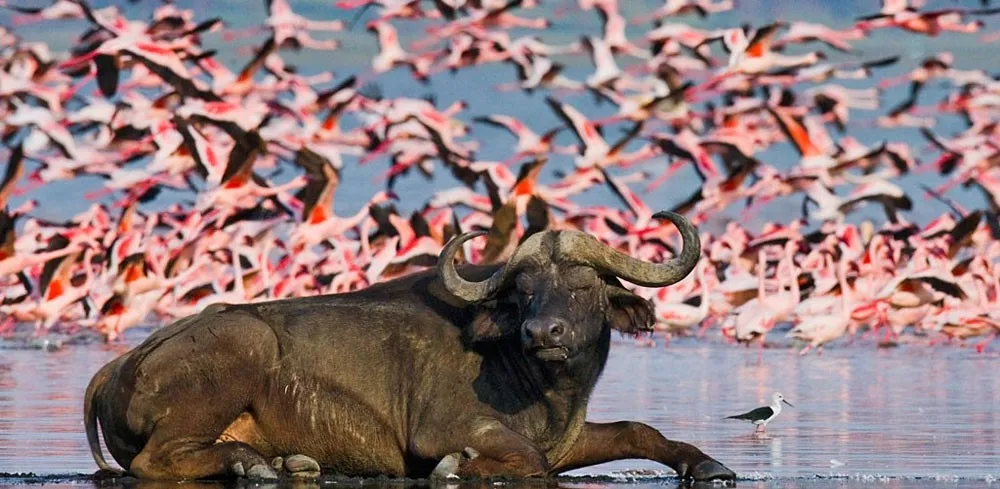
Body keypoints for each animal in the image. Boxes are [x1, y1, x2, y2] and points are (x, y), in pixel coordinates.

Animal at [86, 210, 740, 480]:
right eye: (525, 291)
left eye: (584, 286)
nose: (542, 334)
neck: (545, 387)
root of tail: (117, 366)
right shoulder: (445, 430)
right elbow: (521, 459)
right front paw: (459, 468)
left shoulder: (568, 440)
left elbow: (639, 430)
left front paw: (708, 464)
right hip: (239, 349)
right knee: (154, 461)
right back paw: (252, 466)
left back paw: (284, 462)